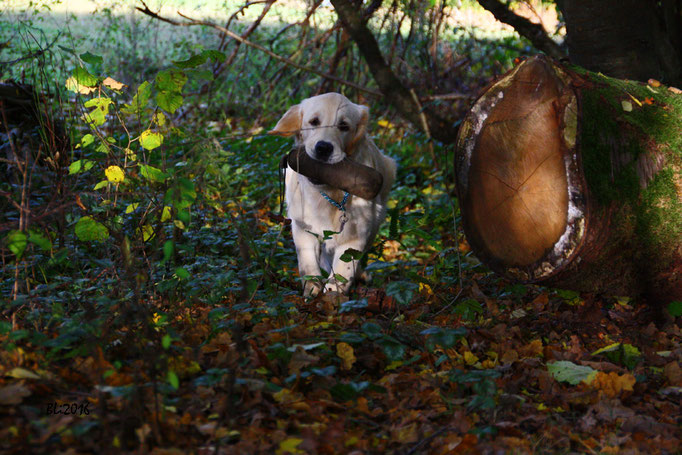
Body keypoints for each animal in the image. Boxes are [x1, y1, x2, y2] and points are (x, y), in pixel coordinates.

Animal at [270, 94, 396, 298]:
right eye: (314, 121)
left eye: (344, 126)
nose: (323, 148)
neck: (329, 193)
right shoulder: (302, 227)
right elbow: (307, 262)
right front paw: (311, 289)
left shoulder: (355, 235)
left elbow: (343, 270)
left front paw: (333, 294)